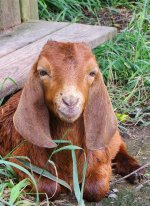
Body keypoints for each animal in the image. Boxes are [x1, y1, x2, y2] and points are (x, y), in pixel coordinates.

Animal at [0, 41, 143, 202]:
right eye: (43, 72)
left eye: (92, 73)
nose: (70, 101)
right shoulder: (19, 159)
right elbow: (49, 188)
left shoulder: (100, 156)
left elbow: (96, 188)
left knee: (120, 145)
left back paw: (136, 171)